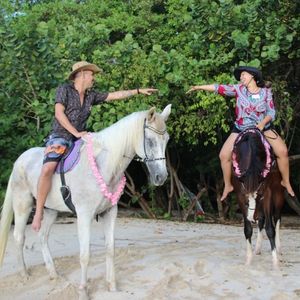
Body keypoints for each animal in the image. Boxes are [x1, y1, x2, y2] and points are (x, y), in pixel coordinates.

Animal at [0, 103, 171, 292]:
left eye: (167, 140)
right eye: (149, 140)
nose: (161, 177)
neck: (103, 165)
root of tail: (19, 160)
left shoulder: (110, 213)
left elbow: (110, 249)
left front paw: (112, 287)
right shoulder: (84, 215)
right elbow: (85, 255)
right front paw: (83, 289)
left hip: (51, 210)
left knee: (43, 237)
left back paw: (53, 274)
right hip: (22, 204)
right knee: (19, 237)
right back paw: (24, 275)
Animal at [231, 127, 284, 268]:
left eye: (259, 196)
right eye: (245, 197)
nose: (251, 217)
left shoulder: (267, 193)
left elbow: (270, 229)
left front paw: (275, 261)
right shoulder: (239, 195)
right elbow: (248, 229)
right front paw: (249, 259)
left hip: (279, 194)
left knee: (276, 218)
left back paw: (279, 247)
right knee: (261, 220)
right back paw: (258, 248)